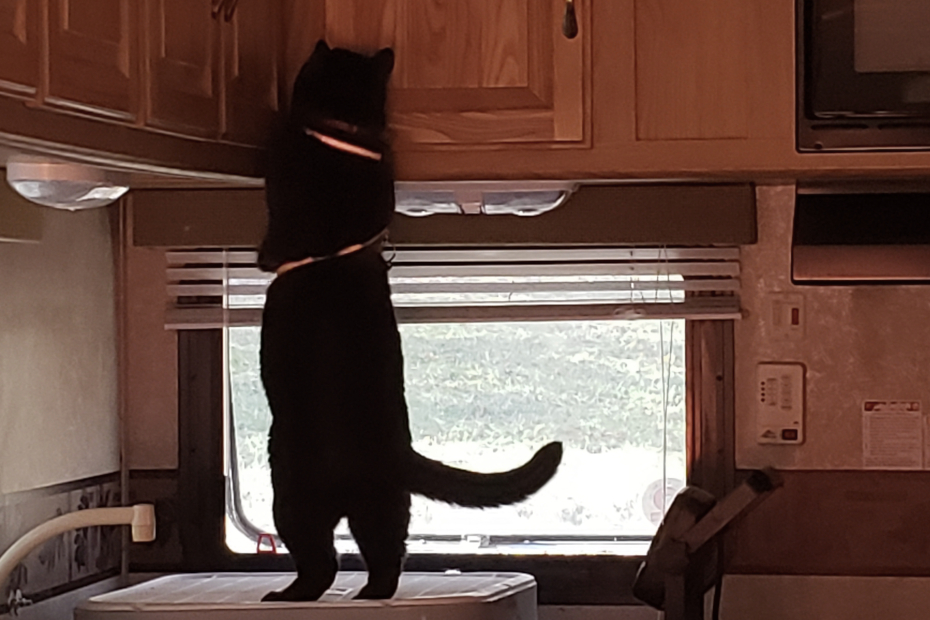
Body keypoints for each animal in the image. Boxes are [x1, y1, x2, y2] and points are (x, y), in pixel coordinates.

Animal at [256, 41, 560, 604]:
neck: (344, 134)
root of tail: (391, 453)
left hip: (291, 494)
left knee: (320, 561)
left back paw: (290, 595)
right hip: (386, 506)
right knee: (385, 557)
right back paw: (369, 595)